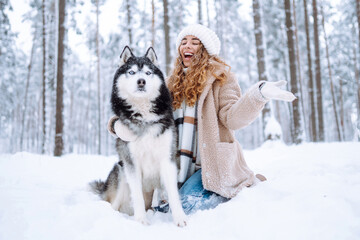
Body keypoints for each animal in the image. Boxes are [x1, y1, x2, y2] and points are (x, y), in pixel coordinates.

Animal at [90, 46, 187, 227]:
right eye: (132, 72)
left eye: (148, 73)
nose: (141, 81)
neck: (144, 117)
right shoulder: (131, 162)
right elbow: (137, 196)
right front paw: (141, 220)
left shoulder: (167, 159)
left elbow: (173, 193)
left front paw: (180, 218)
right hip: (121, 173)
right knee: (114, 204)